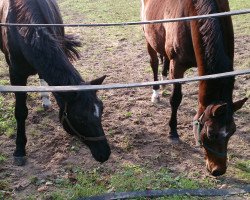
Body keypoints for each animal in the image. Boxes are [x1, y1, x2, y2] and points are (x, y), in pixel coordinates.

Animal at [0, 0, 111, 165]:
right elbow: (20, 112)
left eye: (101, 110)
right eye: (80, 118)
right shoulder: (16, 75)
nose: (105, 154)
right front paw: (19, 150)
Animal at [141, 0, 248, 175]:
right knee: (154, 63)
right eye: (211, 133)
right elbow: (176, 99)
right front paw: (173, 132)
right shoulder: (177, 66)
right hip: (149, 39)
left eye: (233, 131)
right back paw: (156, 92)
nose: (218, 170)